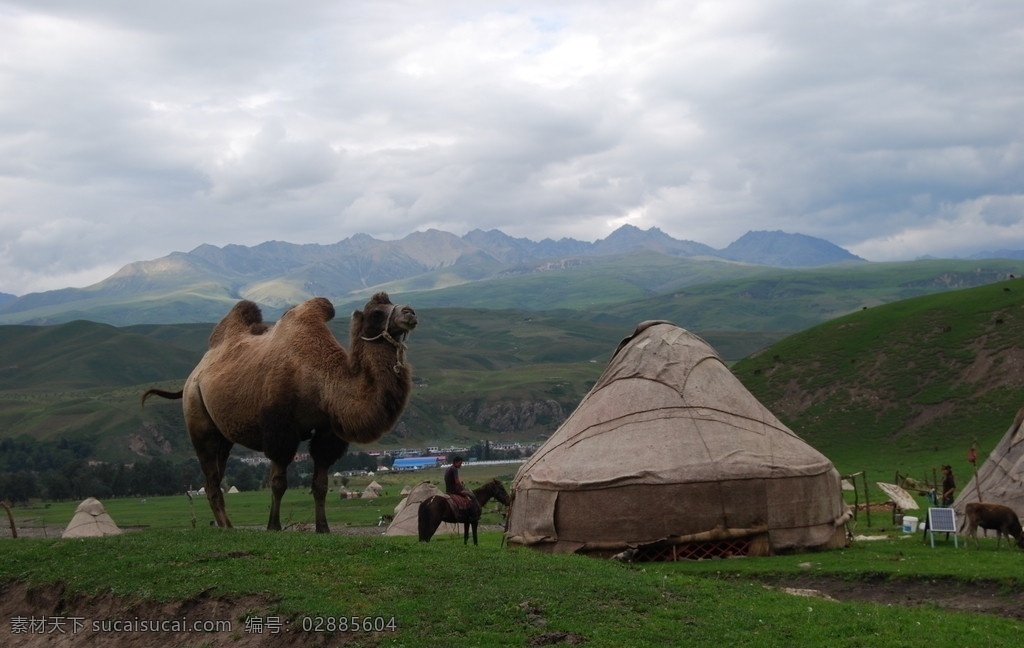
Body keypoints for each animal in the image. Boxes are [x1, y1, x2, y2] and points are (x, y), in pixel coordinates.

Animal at [143, 292, 415, 532]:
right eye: (376, 313)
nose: (410, 312)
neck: (321, 380)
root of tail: (194, 375)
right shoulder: (280, 429)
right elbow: (278, 483)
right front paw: (273, 526)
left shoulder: (326, 432)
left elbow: (320, 484)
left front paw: (323, 528)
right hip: (198, 417)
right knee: (211, 478)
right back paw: (226, 527)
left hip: (223, 436)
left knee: (216, 478)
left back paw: (227, 525)